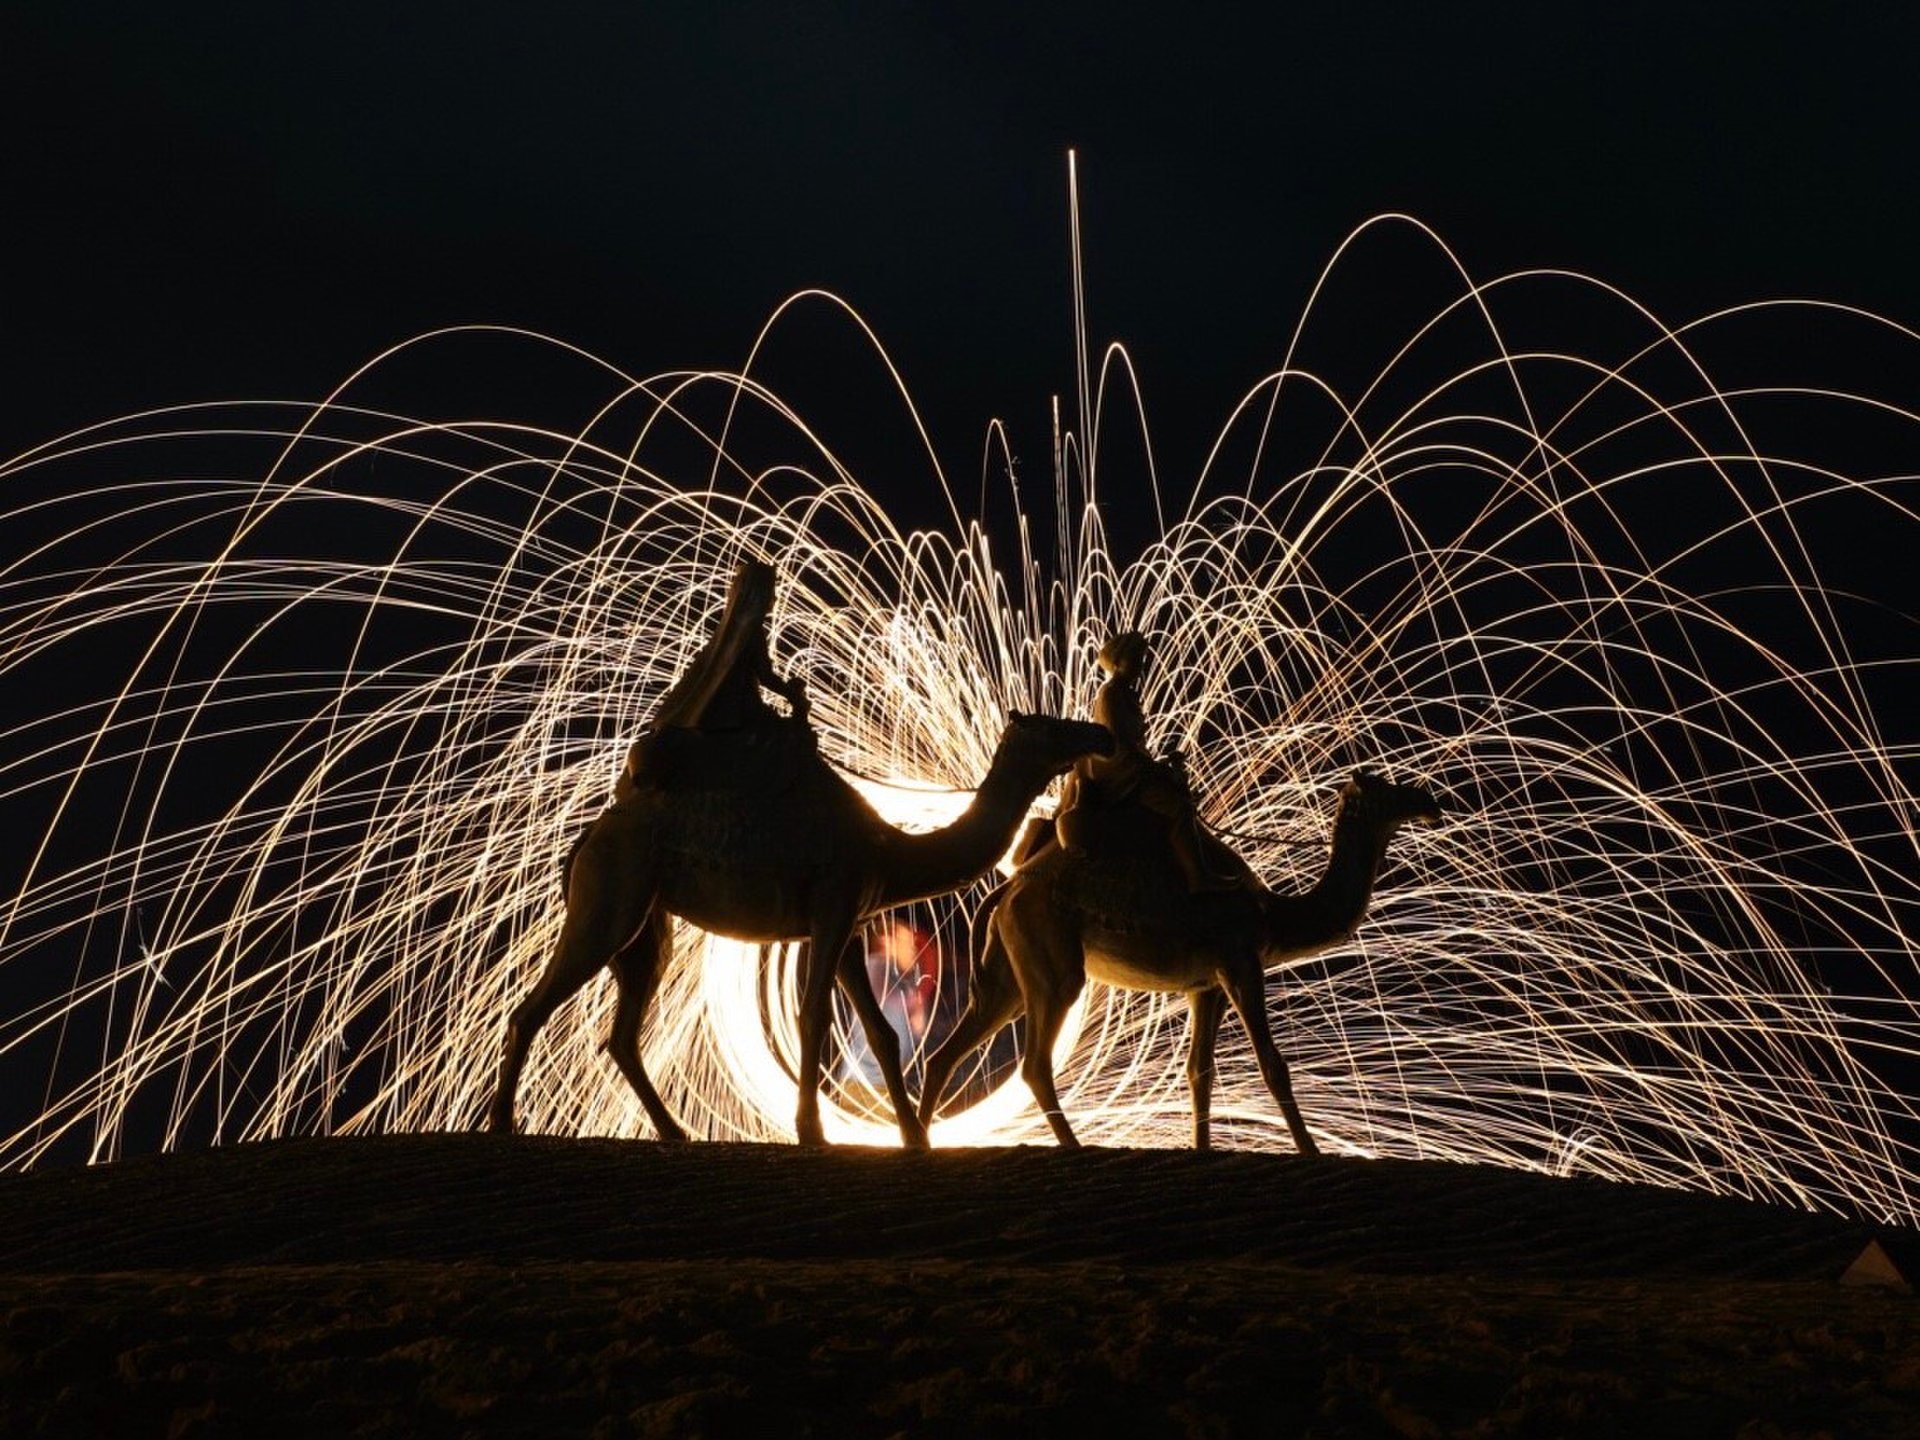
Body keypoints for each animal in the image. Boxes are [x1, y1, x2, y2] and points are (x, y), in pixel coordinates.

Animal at [487, 718, 1113, 1159]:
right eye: (1051, 726)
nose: (1100, 733)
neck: (890, 851)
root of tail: (587, 837)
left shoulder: (851, 924)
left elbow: (882, 1031)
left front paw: (914, 1137)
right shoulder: (832, 909)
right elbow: (814, 1014)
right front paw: (812, 1131)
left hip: (645, 926)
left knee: (621, 1033)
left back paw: (674, 1131)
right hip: (609, 902)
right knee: (531, 1008)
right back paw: (501, 1124)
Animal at [913, 771, 1443, 1159]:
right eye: (1384, 789)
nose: (1429, 799)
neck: (1273, 914)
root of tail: (1009, 888)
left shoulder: (1204, 987)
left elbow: (1198, 1071)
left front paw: (1202, 1148)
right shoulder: (1241, 962)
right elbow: (1273, 1064)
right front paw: (1311, 1151)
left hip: (1007, 973)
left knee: (945, 1055)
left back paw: (919, 1142)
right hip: (1053, 960)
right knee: (1035, 1062)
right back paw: (1073, 1145)